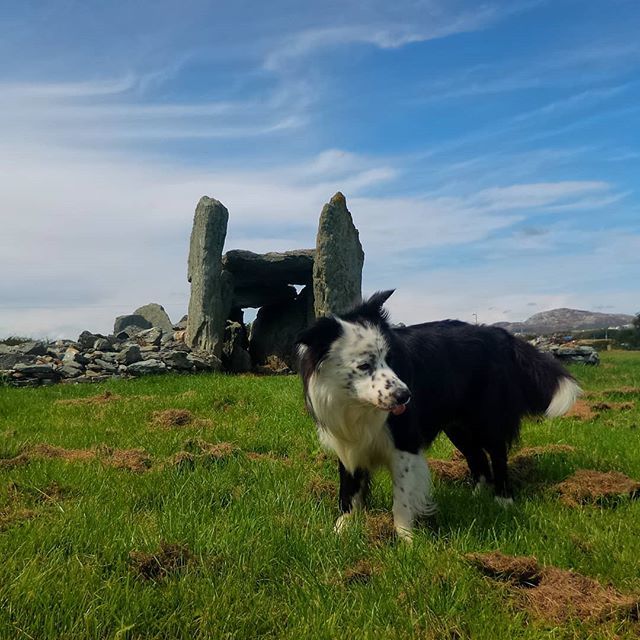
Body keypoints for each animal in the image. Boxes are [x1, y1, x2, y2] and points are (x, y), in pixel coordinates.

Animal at [298, 290, 584, 540]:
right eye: (364, 366)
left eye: (390, 359)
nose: (405, 396)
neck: (358, 406)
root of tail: (497, 333)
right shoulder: (348, 441)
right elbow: (349, 489)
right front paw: (342, 529)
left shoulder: (405, 443)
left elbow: (402, 496)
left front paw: (405, 538)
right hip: (457, 427)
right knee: (478, 458)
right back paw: (476, 498)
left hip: (487, 419)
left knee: (497, 455)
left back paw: (503, 500)